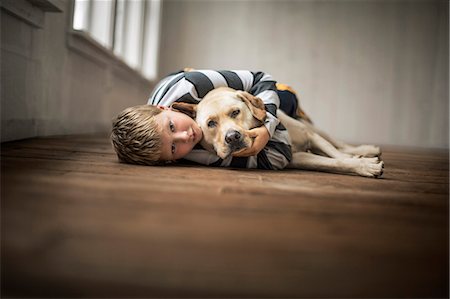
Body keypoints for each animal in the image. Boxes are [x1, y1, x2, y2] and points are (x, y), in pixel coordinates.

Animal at [171, 87, 384, 178]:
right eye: (211, 123)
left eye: (235, 112)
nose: (232, 137)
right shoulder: (296, 157)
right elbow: (333, 162)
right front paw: (364, 166)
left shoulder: (310, 136)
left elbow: (337, 154)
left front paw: (362, 162)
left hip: (313, 128)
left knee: (338, 144)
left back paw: (365, 149)